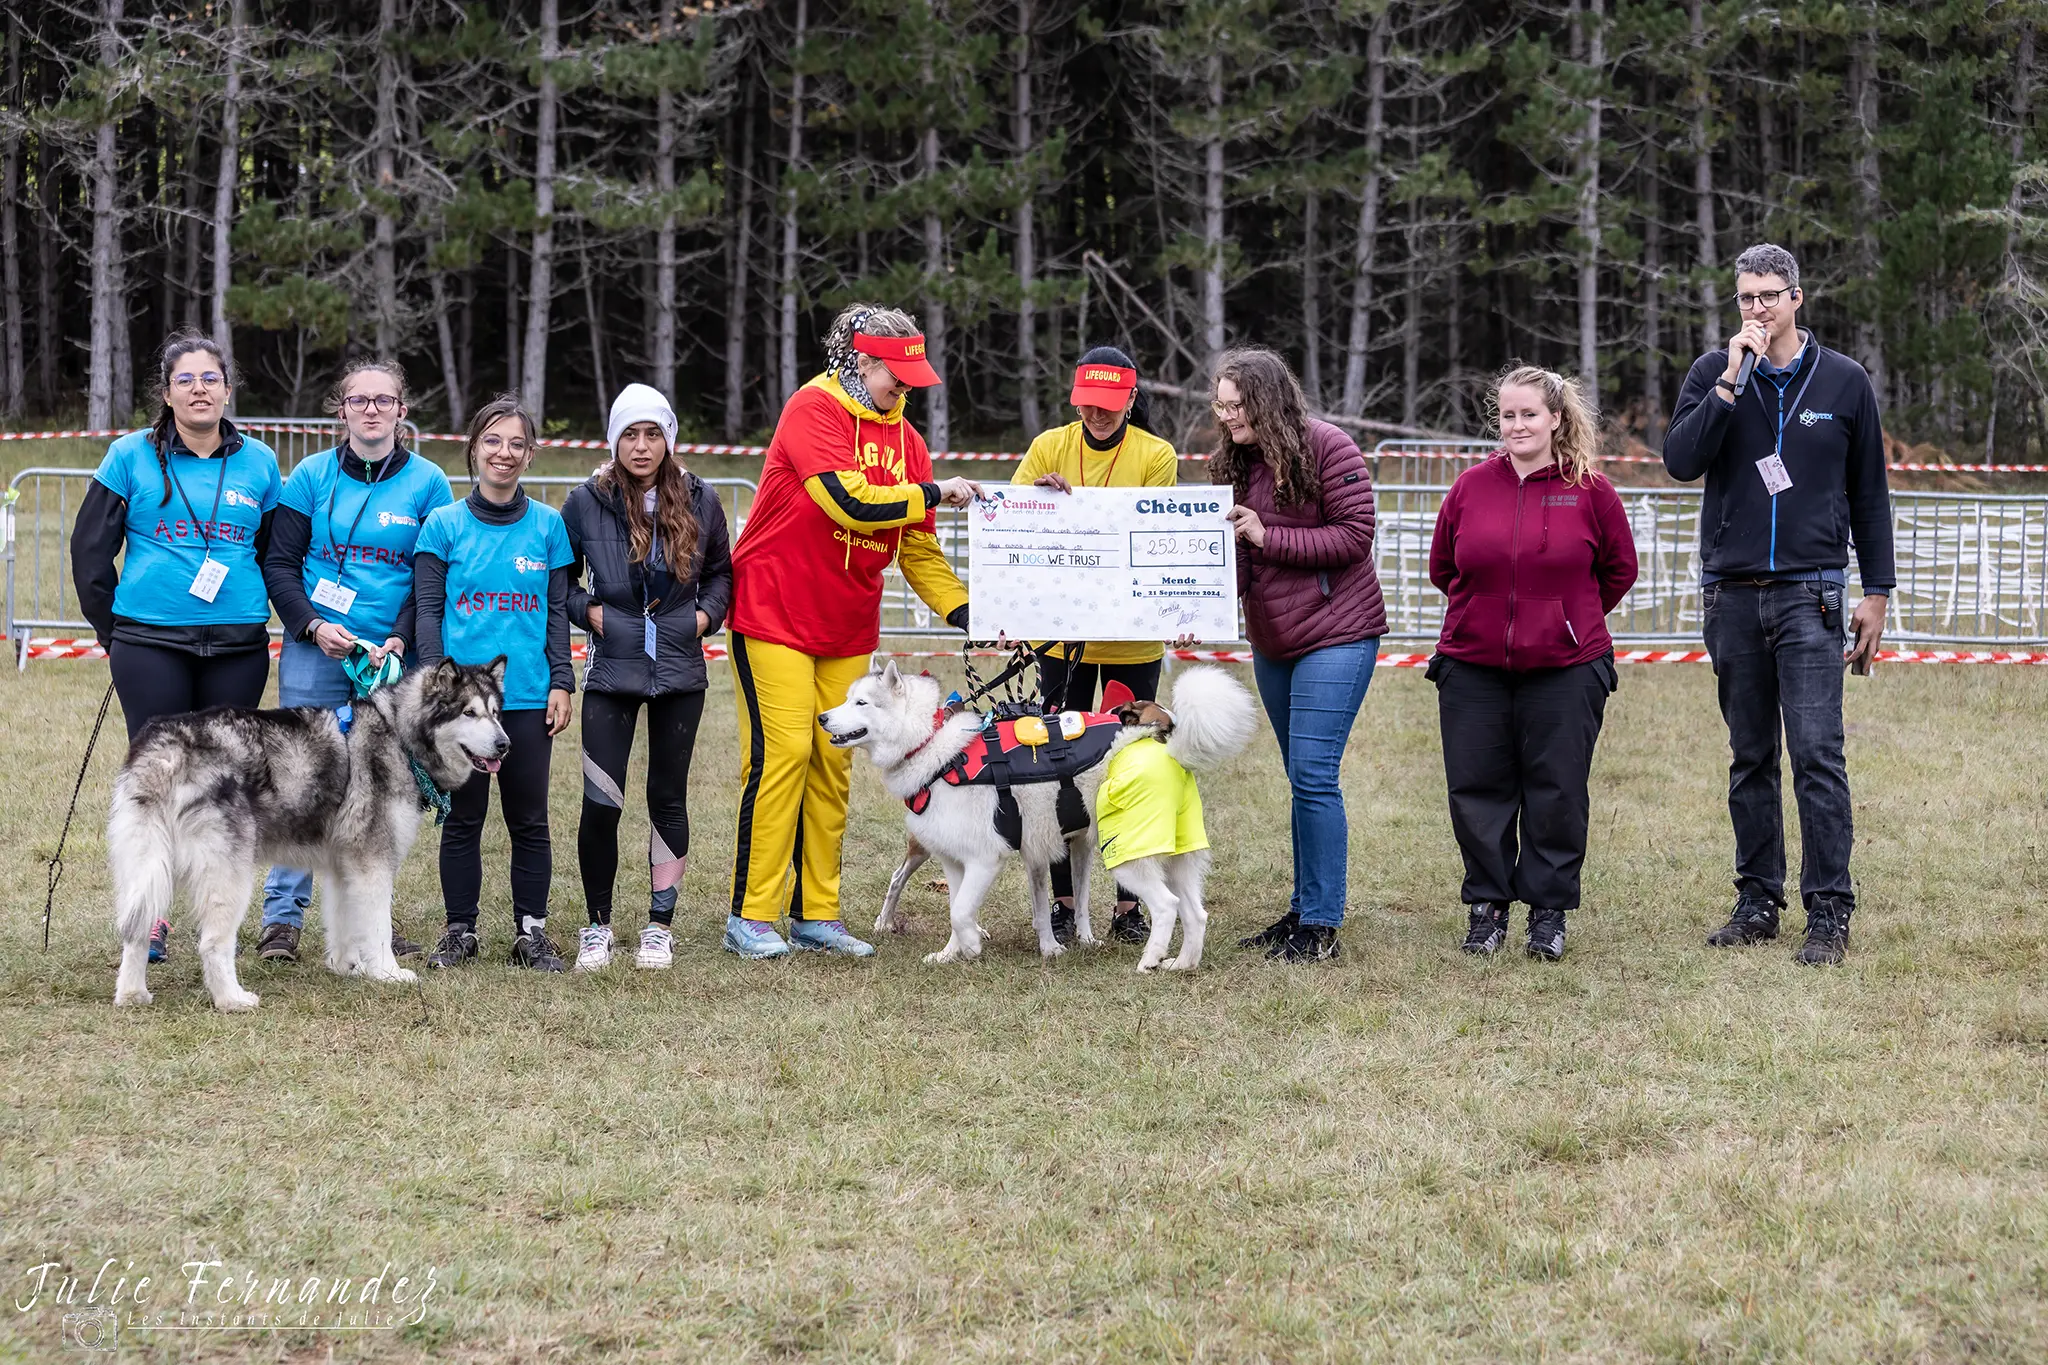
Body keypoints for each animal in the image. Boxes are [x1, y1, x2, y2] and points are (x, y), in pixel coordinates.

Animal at [823, 663, 1253, 970]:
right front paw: (952, 953)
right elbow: (958, 910)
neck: (935, 746)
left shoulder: (987, 859)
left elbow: (961, 911)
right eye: (848, 699)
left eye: (861, 703)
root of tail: (1170, 751)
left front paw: (971, 945)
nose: (824, 718)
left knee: (1166, 906)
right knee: (1196, 913)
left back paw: (1149, 962)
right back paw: (1181, 965)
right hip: (1176, 856)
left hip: (1129, 856)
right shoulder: (958, 862)